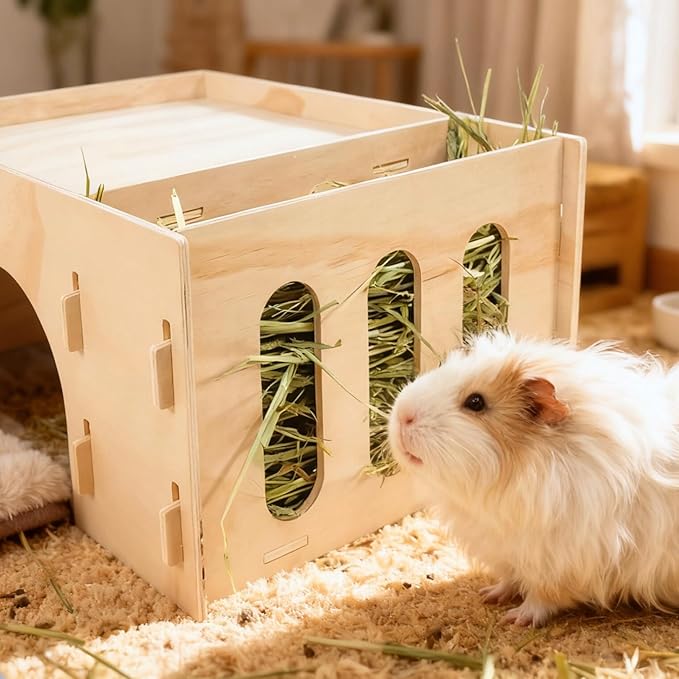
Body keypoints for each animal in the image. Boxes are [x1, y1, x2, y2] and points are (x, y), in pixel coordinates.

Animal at [388, 331, 679, 626]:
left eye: (475, 402)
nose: (402, 414)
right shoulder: (509, 552)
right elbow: (510, 579)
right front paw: (490, 595)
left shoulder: (560, 564)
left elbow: (543, 598)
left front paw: (517, 619)